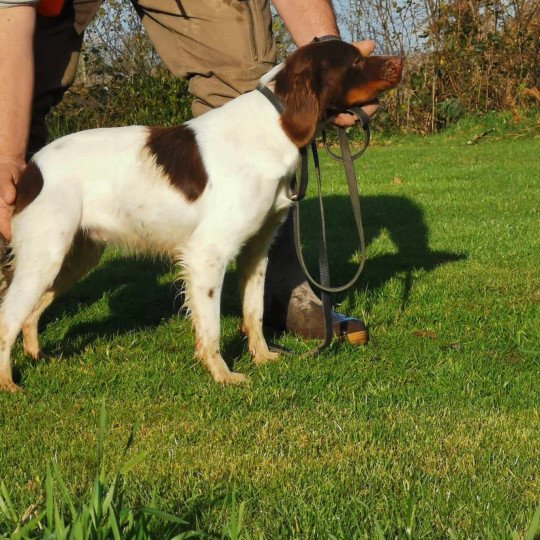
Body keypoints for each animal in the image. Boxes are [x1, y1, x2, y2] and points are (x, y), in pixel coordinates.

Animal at [0, 39, 400, 392]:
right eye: (354, 61)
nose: (400, 62)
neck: (272, 127)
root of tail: (31, 169)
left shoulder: (256, 249)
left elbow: (254, 311)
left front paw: (263, 356)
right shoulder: (208, 253)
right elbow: (211, 326)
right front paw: (223, 375)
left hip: (75, 256)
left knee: (31, 313)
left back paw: (37, 356)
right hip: (45, 256)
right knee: (8, 317)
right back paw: (9, 384)